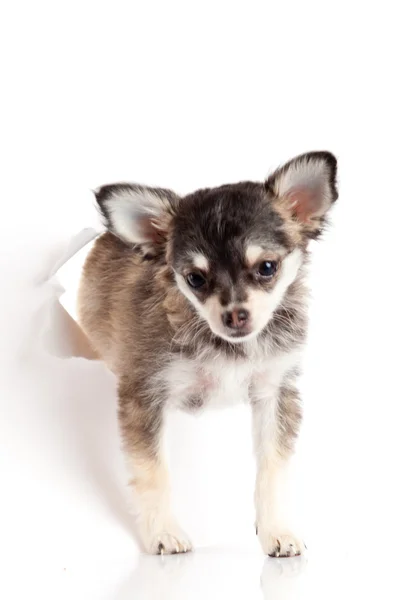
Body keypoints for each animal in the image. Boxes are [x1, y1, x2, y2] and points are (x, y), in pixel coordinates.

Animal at [77, 151, 338, 556]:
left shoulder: (275, 392)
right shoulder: (145, 394)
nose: (234, 315)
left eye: (267, 267)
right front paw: (164, 532)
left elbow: (273, 468)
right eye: (195, 279)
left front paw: (276, 530)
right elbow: (152, 471)